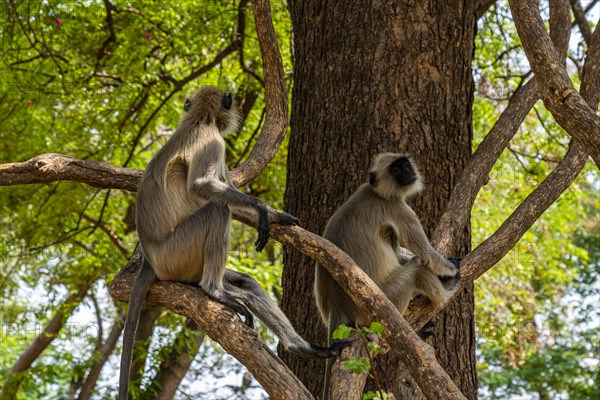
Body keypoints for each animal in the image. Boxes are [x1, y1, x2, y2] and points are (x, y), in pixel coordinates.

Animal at [120, 86, 342, 398]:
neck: (199, 119)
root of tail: (150, 259)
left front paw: (274, 215)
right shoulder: (212, 141)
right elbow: (203, 187)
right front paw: (261, 209)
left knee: (248, 283)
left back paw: (303, 346)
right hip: (175, 255)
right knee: (217, 209)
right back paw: (214, 291)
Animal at [314, 153, 460, 400]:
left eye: (404, 164)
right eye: (396, 169)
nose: (407, 171)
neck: (376, 192)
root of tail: (337, 306)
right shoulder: (398, 209)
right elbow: (427, 256)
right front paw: (453, 270)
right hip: (384, 300)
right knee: (416, 268)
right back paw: (443, 296)